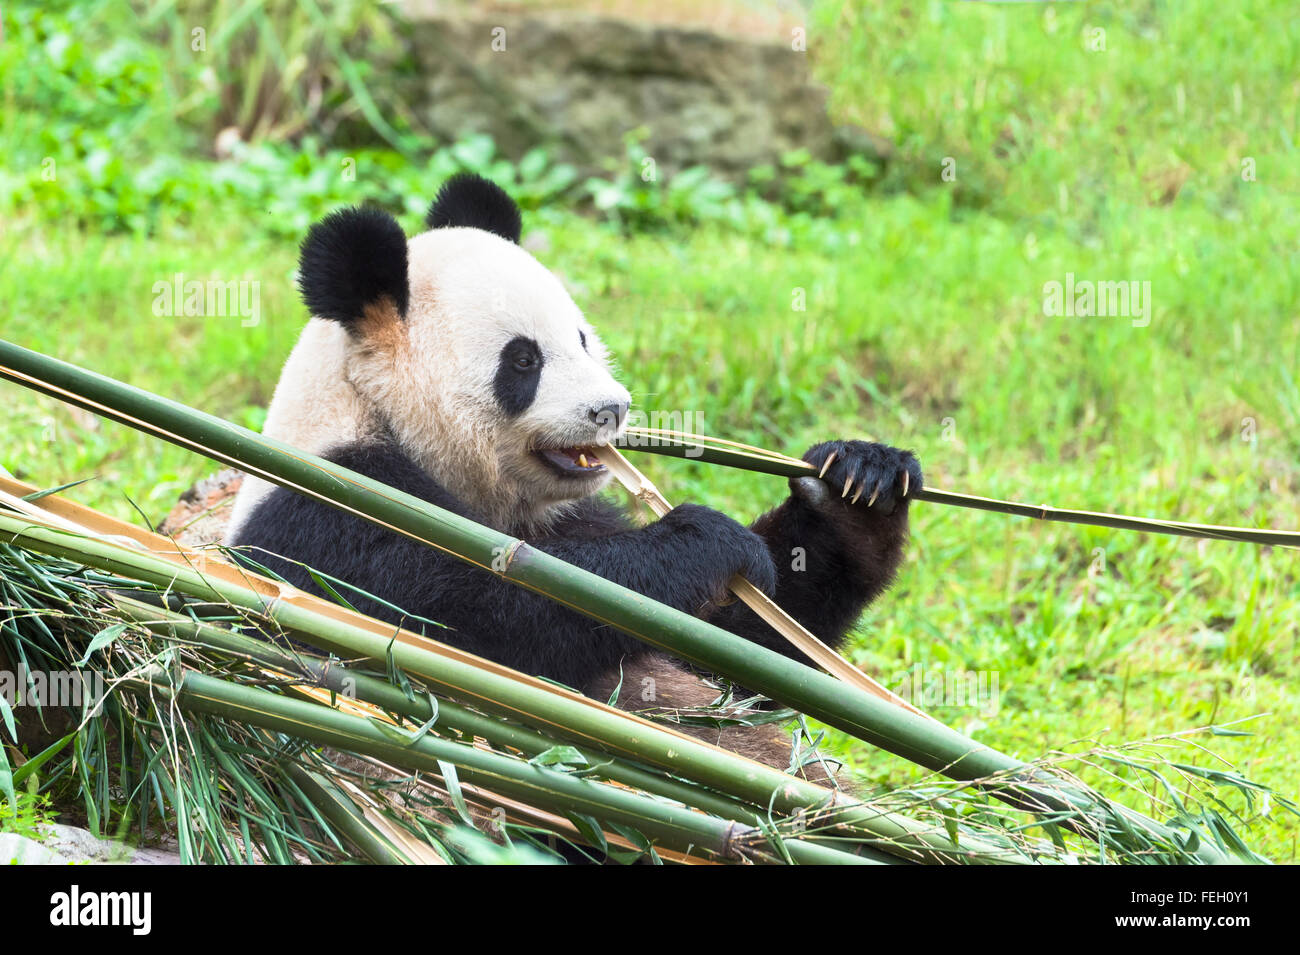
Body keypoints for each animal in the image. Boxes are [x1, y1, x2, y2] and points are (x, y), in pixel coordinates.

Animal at [226, 173, 922, 777]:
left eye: (583, 338)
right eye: (523, 360)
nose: (611, 409)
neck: (372, 412)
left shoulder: (569, 513)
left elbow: (744, 654)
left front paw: (858, 485)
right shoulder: (337, 508)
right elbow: (487, 620)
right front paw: (709, 540)